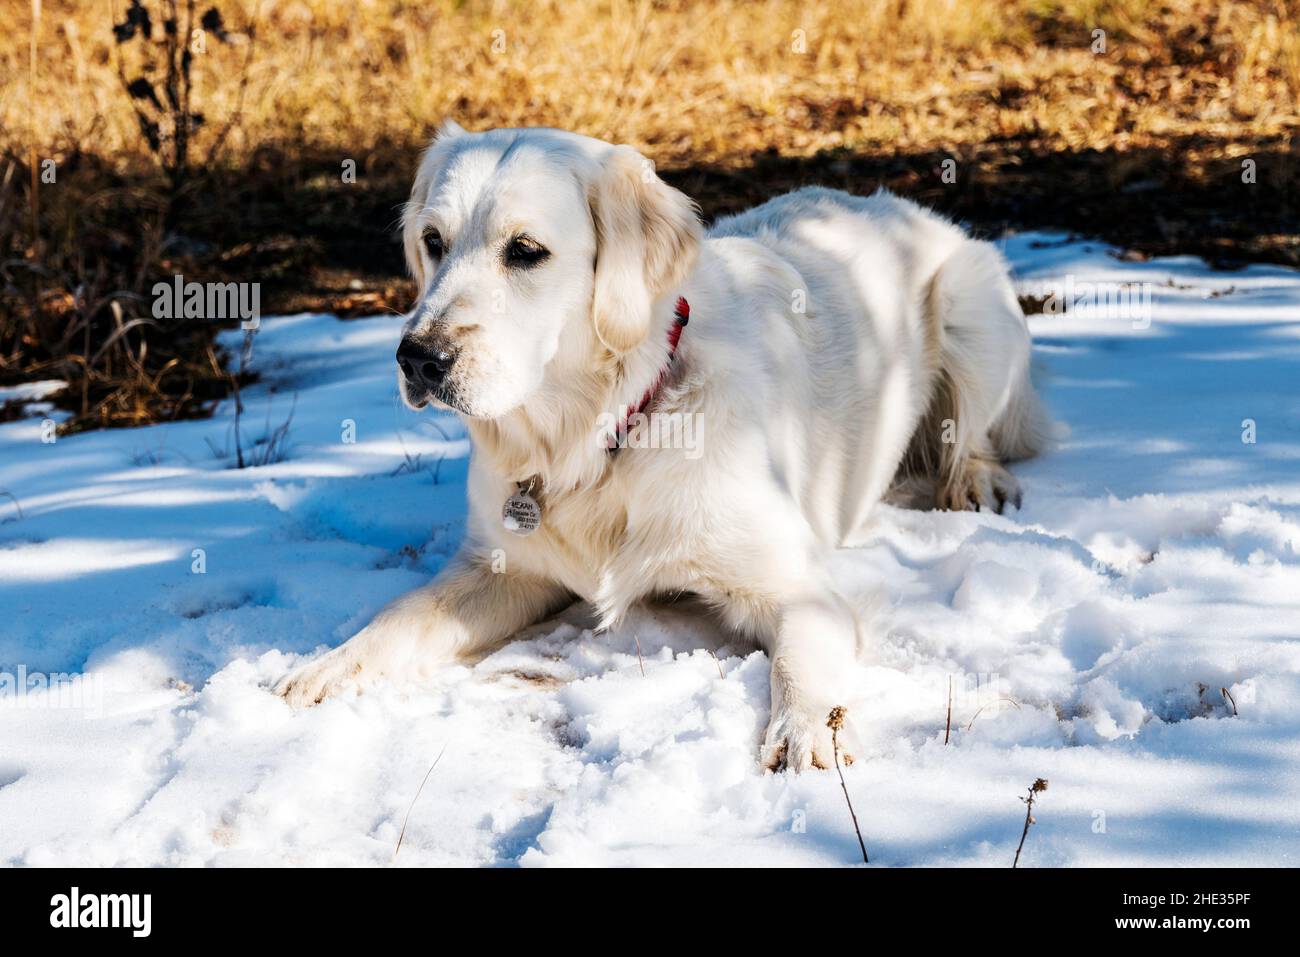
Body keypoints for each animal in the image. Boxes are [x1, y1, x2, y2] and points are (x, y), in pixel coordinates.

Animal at [279, 123, 1050, 774]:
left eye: (524, 251)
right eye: (433, 240)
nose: (418, 358)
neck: (599, 434)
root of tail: (898, 206)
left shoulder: (795, 586)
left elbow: (800, 664)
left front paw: (809, 731)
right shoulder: (504, 568)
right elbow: (404, 614)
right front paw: (327, 667)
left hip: (970, 305)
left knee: (973, 433)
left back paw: (976, 480)